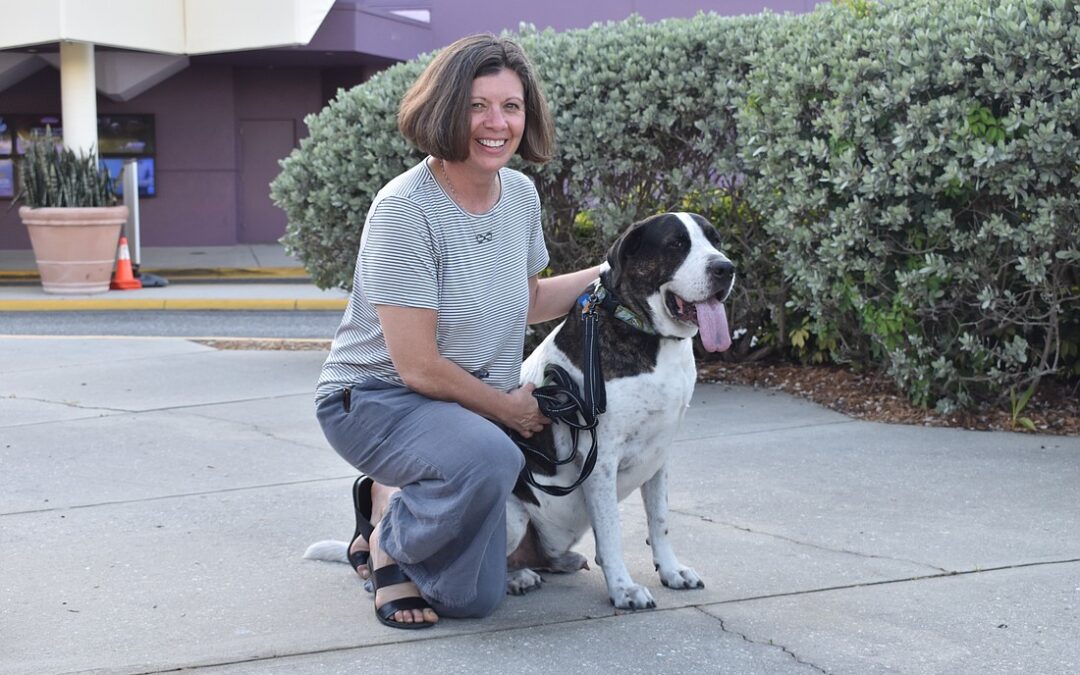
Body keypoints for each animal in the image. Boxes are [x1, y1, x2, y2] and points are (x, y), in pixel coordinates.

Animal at [503, 211, 734, 609]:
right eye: (676, 244)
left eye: (715, 240)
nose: (726, 268)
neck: (652, 338)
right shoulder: (600, 457)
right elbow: (610, 530)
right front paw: (623, 589)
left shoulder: (661, 453)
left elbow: (660, 519)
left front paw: (671, 571)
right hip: (513, 516)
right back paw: (516, 577)